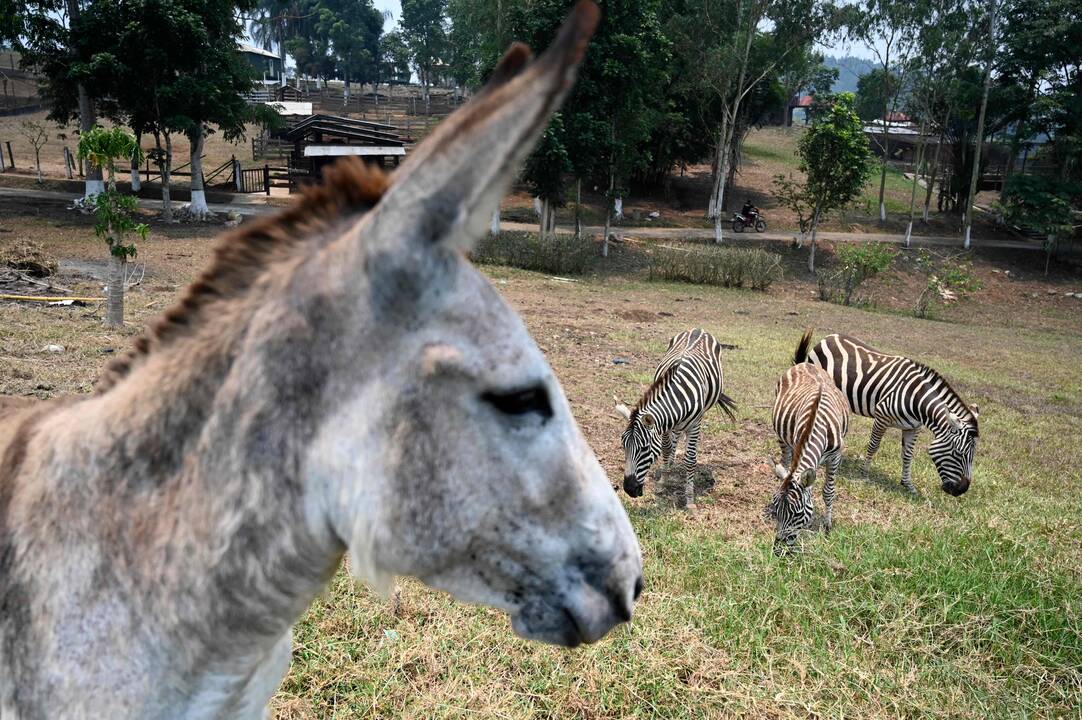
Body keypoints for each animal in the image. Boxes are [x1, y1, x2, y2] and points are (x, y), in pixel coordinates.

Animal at [614, 329, 740, 508]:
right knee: (675, 438)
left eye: (644, 449)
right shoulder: (665, 424)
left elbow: (690, 459)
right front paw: (663, 481)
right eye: (623, 446)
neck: (679, 395)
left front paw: (690, 500)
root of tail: (698, 329)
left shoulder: (694, 424)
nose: (629, 489)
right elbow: (666, 449)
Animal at [766, 361, 848, 552]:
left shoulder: (835, 456)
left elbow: (828, 491)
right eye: (776, 509)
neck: (816, 420)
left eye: (798, 513)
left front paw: (827, 526)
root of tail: (804, 363)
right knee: (785, 462)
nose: (779, 549)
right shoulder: (797, 444)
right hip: (782, 436)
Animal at [796, 329, 982, 493]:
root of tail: (828, 337)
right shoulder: (881, 417)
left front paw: (908, 484)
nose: (961, 490)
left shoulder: (913, 428)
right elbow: (873, 446)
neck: (916, 399)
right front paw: (864, 474)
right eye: (958, 453)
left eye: (973, 456)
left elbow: (908, 455)